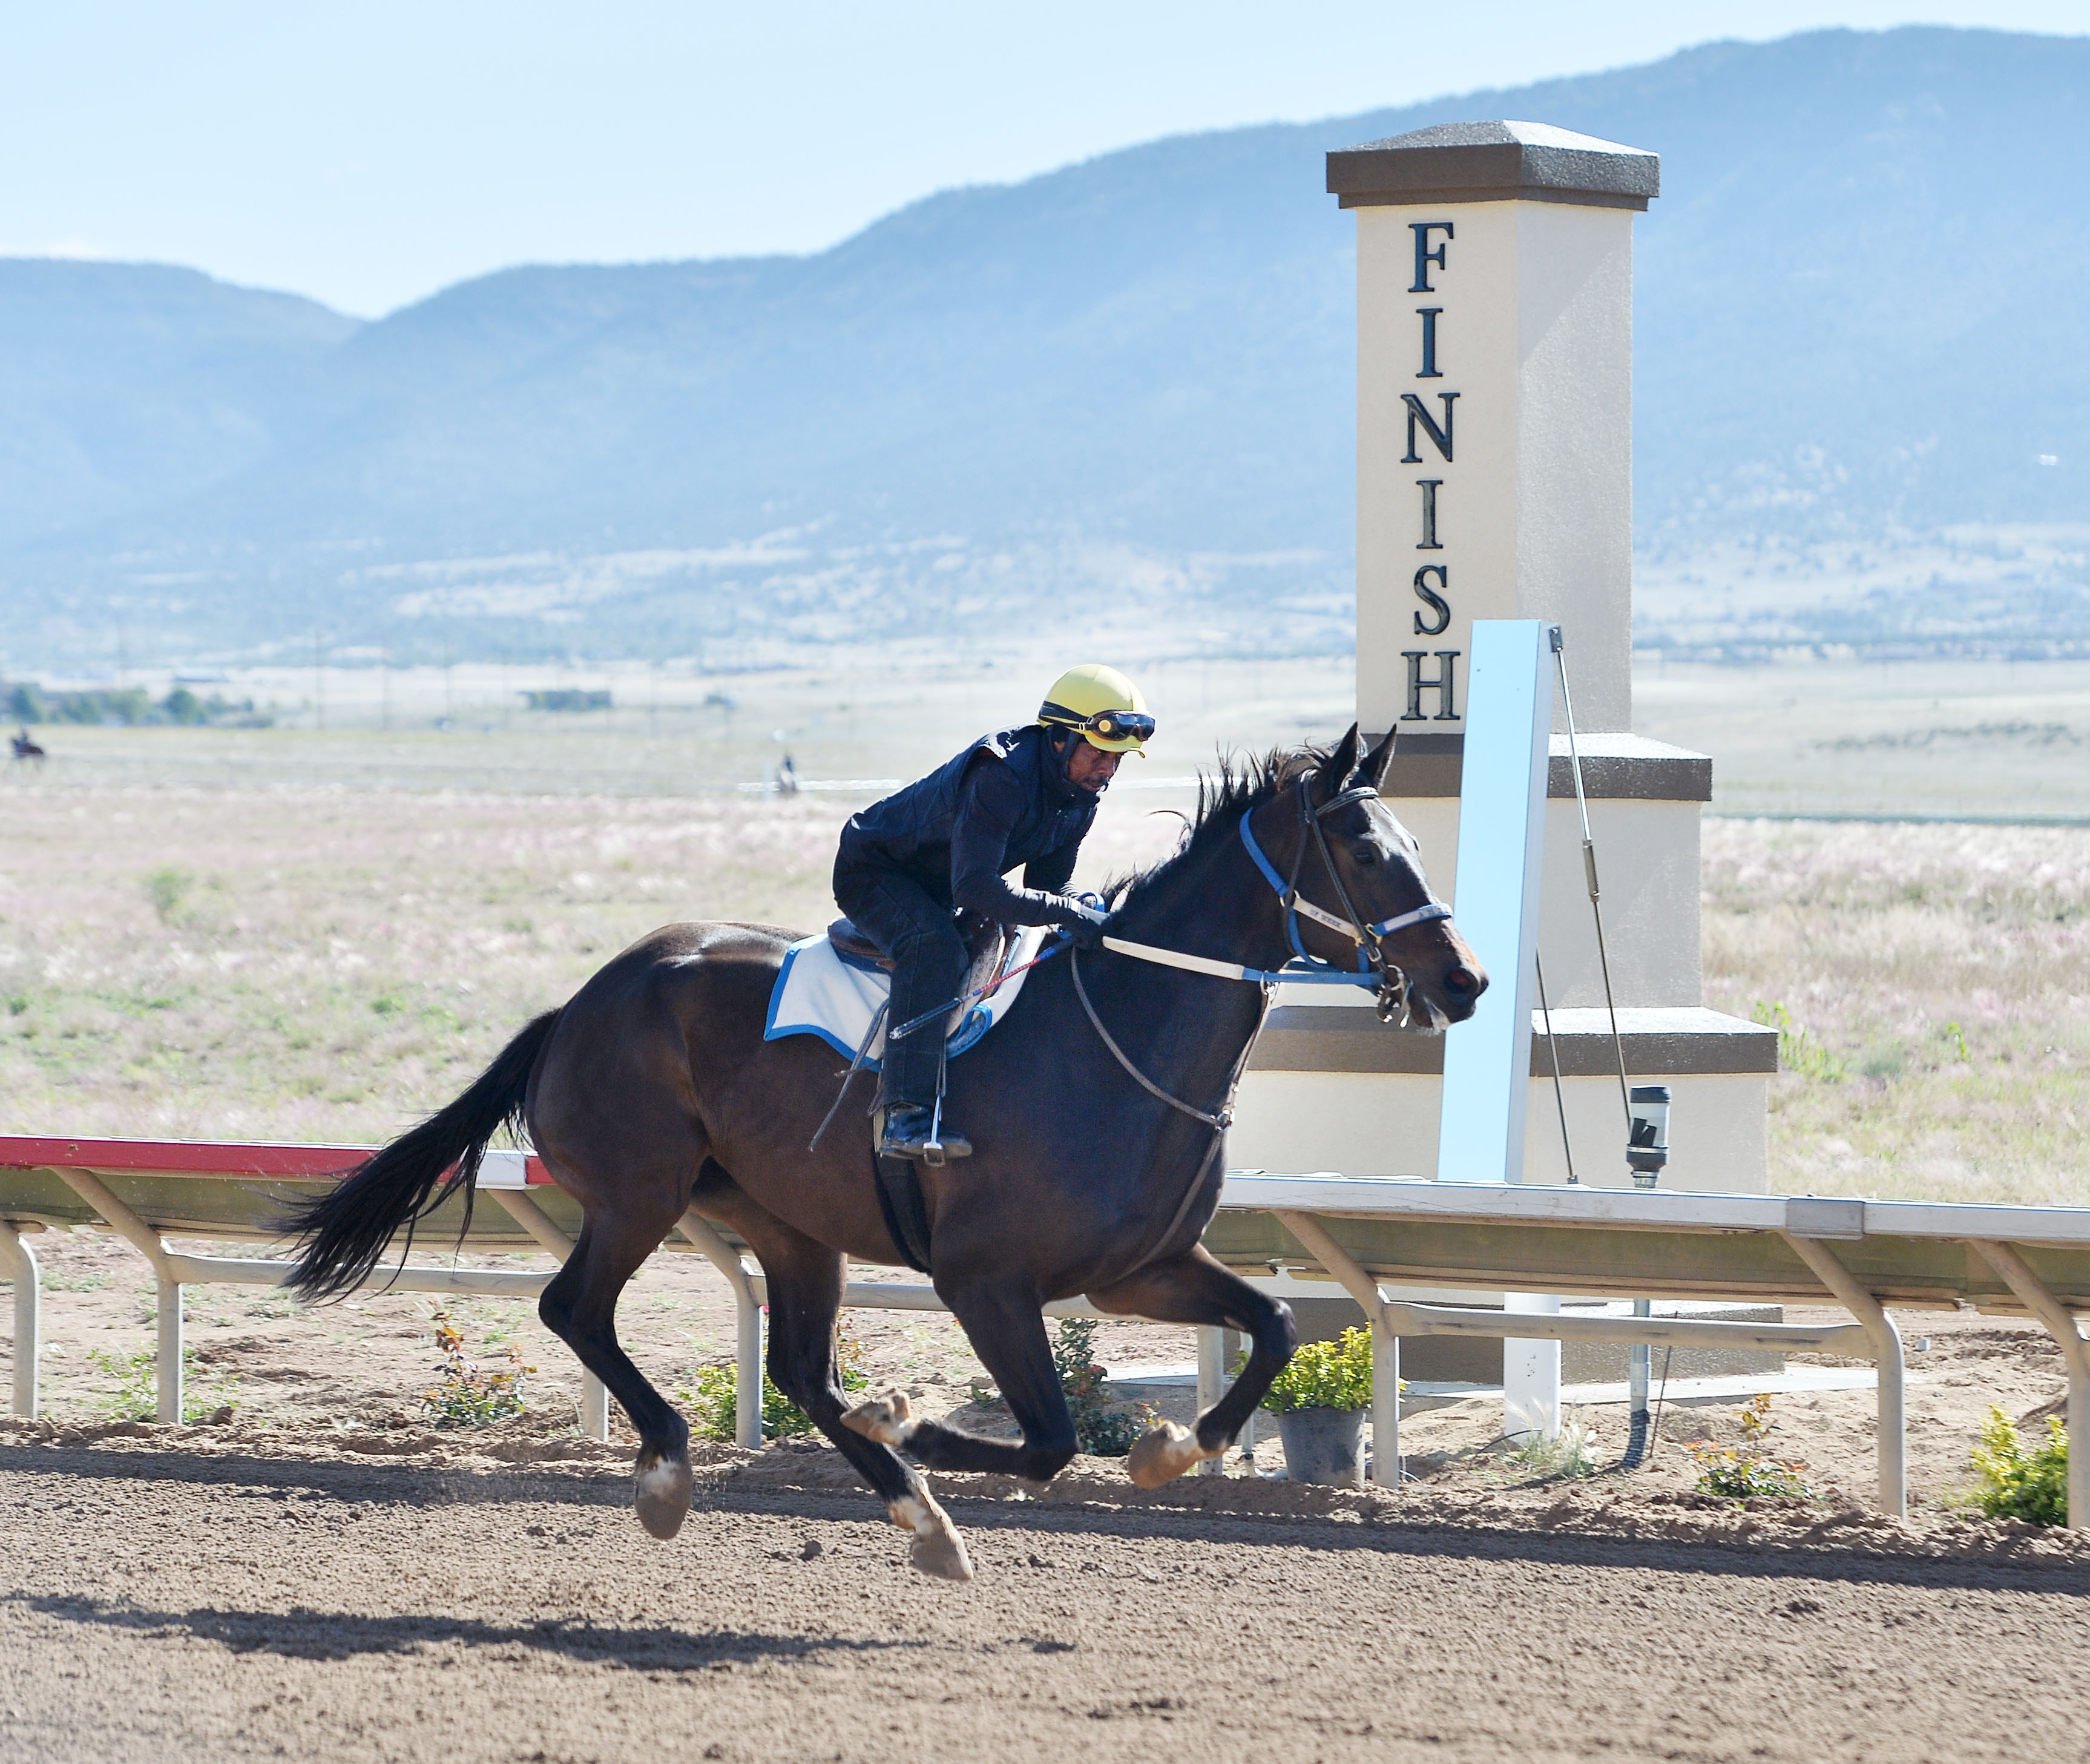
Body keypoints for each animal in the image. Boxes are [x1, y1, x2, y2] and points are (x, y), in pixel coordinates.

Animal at [286, 723, 1488, 1580]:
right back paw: (672, 1465)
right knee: (573, 1309)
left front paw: (1167, 1448)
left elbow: (1275, 1323)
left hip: (787, 1222)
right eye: (1366, 849)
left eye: (1410, 844)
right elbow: (1046, 1438)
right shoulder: (985, 1279)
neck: (1118, 1037)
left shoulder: (1138, 1269)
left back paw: (923, 1519)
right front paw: (916, 1417)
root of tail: (580, 1000)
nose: (1463, 978)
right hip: (639, 1192)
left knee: (799, 1372)